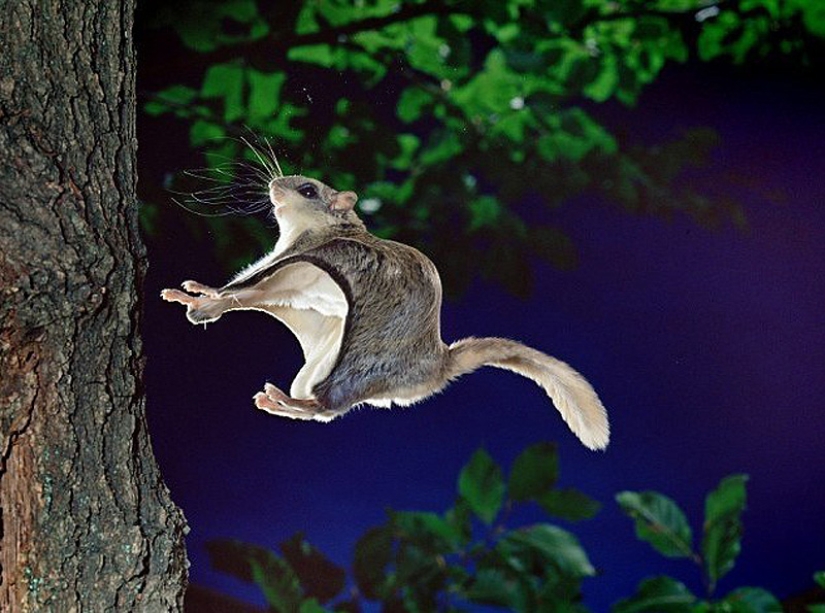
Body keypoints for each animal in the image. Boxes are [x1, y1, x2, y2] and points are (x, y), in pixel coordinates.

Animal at [161, 175, 610, 450]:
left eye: (308, 190)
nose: (274, 183)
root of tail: (436, 361)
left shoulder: (302, 256)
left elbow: (245, 285)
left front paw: (204, 298)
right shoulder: (289, 280)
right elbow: (253, 291)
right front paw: (198, 299)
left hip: (352, 370)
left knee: (326, 409)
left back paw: (280, 400)